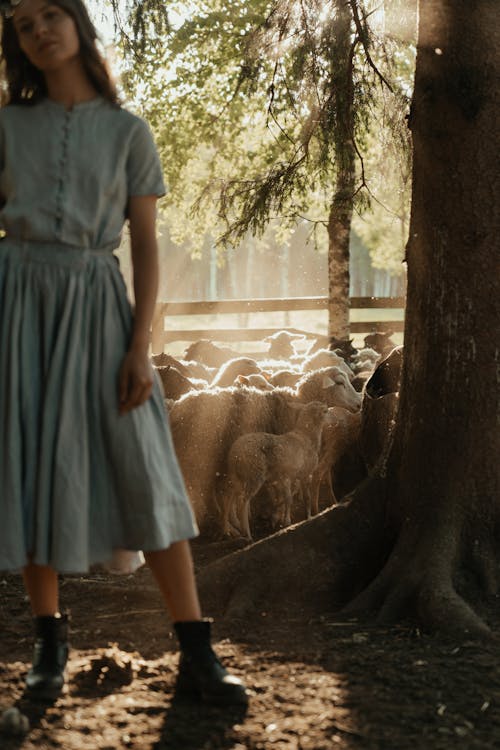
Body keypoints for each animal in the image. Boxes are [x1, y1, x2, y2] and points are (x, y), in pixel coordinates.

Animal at [223, 402, 328, 544]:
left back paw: (229, 528)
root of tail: (235, 454)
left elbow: (290, 497)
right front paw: (295, 519)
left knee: (228, 497)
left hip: (237, 476)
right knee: (242, 502)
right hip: (254, 475)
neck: (306, 437)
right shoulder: (299, 475)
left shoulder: (289, 477)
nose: (330, 416)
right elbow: (298, 498)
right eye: (324, 411)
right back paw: (247, 534)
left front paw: (277, 516)